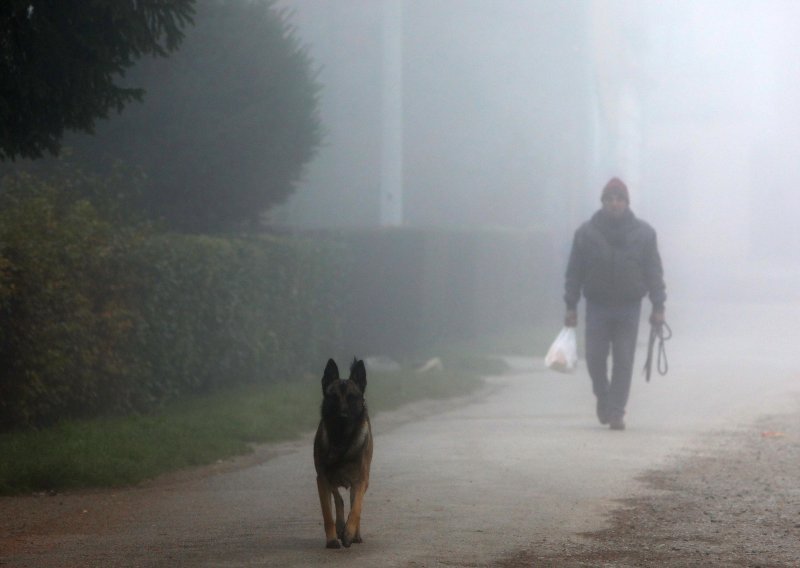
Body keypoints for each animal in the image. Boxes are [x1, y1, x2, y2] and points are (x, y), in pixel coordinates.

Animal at [314, 358, 374, 548]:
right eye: (333, 397)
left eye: (352, 397)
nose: (342, 416)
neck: (342, 440)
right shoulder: (322, 479)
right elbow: (328, 512)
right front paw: (333, 539)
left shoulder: (361, 480)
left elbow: (356, 509)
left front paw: (349, 533)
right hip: (330, 480)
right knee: (339, 500)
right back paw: (340, 527)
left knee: (352, 502)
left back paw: (354, 534)